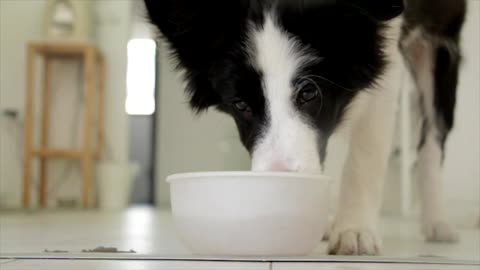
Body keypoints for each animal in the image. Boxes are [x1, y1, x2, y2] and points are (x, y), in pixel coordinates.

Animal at [144, 0, 466, 255]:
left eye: (309, 93)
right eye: (241, 104)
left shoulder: (383, 51)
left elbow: (366, 153)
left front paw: (354, 230)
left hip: (439, 44)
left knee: (432, 138)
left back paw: (437, 222)